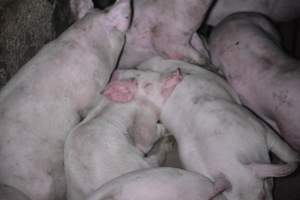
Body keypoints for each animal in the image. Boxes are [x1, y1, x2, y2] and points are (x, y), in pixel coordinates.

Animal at [63, 69, 180, 199]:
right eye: (147, 85)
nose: (177, 71)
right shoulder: (144, 120)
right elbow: (148, 138)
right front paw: (166, 129)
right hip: (142, 165)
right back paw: (169, 142)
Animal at [111, 56, 298, 200]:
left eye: (262, 195)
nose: (115, 73)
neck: (230, 160)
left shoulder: (255, 124)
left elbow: (285, 150)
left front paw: (295, 158)